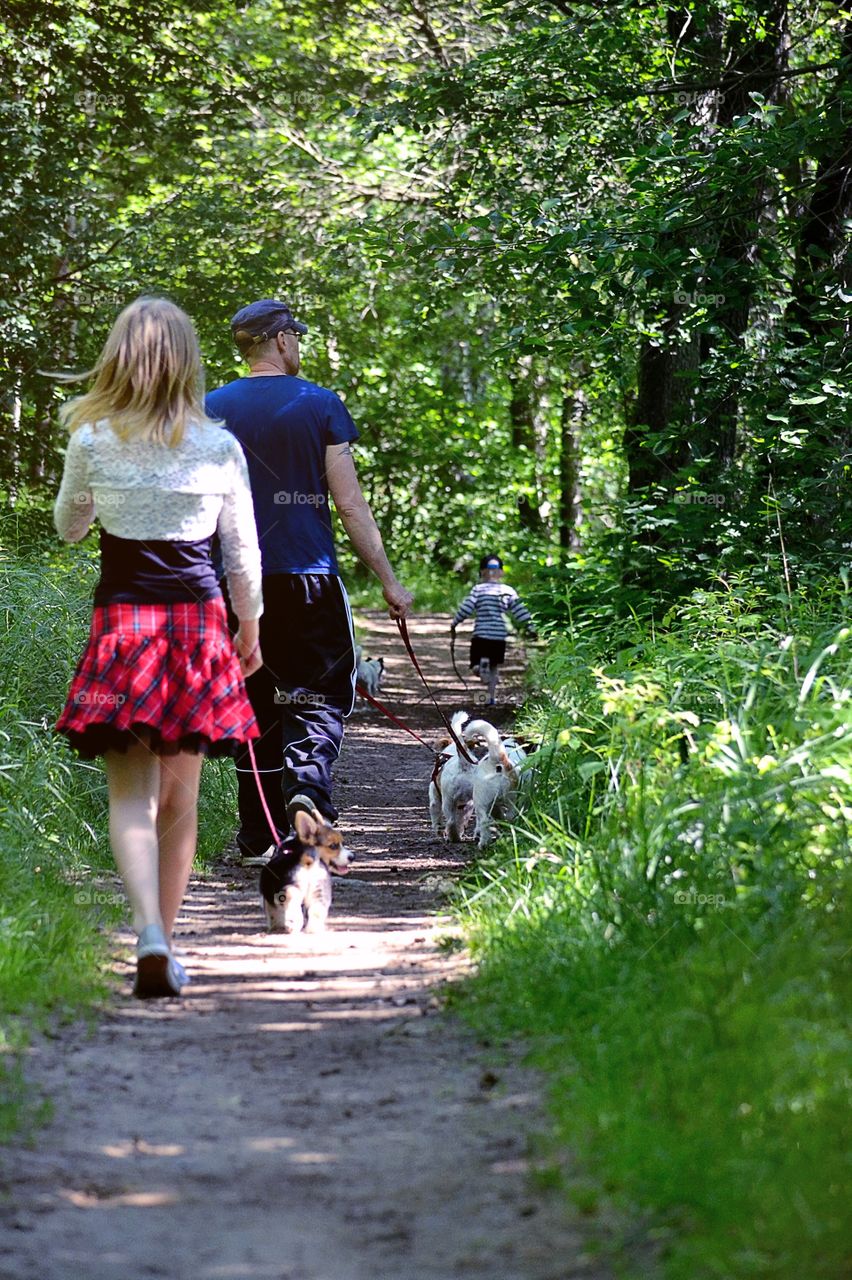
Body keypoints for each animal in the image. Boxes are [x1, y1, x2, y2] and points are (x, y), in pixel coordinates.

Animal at [460, 721, 527, 849]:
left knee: (484, 821)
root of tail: (497, 763)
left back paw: (483, 842)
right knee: (510, 814)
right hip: (512, 798)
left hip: (480, 801)